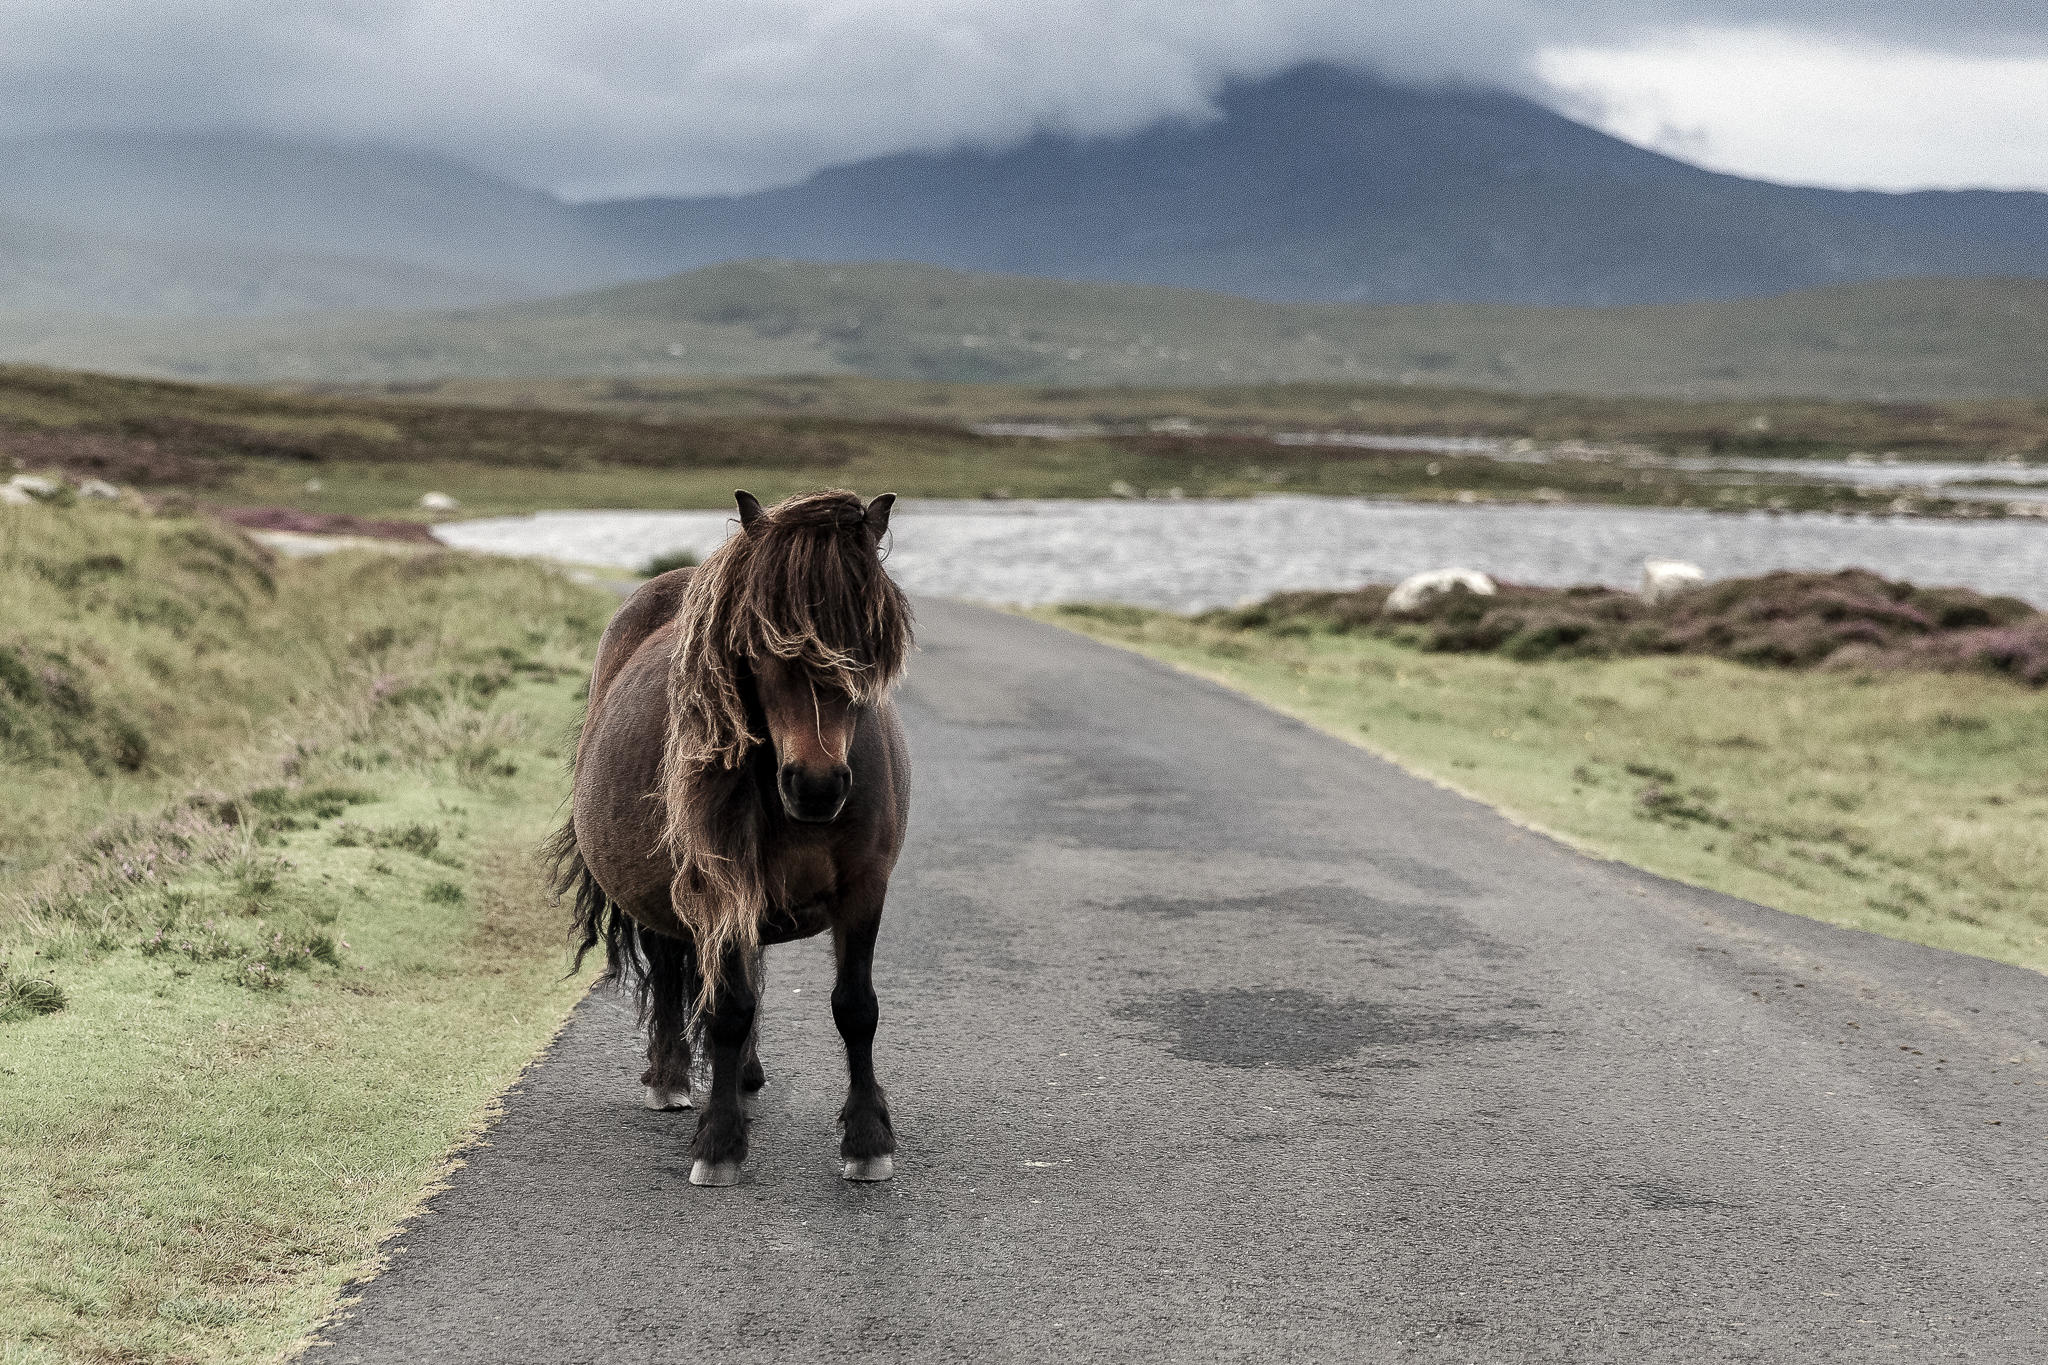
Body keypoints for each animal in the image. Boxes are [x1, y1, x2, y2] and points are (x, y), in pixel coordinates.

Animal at [547, 488, 913, 1188]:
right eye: (761, 646)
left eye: (867, 645)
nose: (817, 787)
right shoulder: (722, 890)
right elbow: (728, 1007)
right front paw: (719, 1143)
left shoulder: (865, 889)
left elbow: (856, 1008)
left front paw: (867, 1138)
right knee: (672, 966)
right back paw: (671, 1078)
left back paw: (743, 1073)